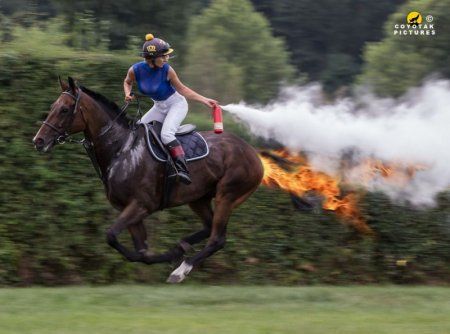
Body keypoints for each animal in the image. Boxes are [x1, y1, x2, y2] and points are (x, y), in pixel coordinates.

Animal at [32, 77, 264, 284]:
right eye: (53, 106)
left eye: (64, 109)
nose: (38, 141)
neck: (122, 149)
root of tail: (253, 153)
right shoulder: (128, 209)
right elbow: (140, 251)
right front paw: (171, 253)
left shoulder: (141, 205)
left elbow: (112, 235)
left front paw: (171, 258)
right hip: (198, 198)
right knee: (209, 227)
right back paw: (181, 247)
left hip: (227, 195)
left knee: (217, 239)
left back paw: (180, 271)